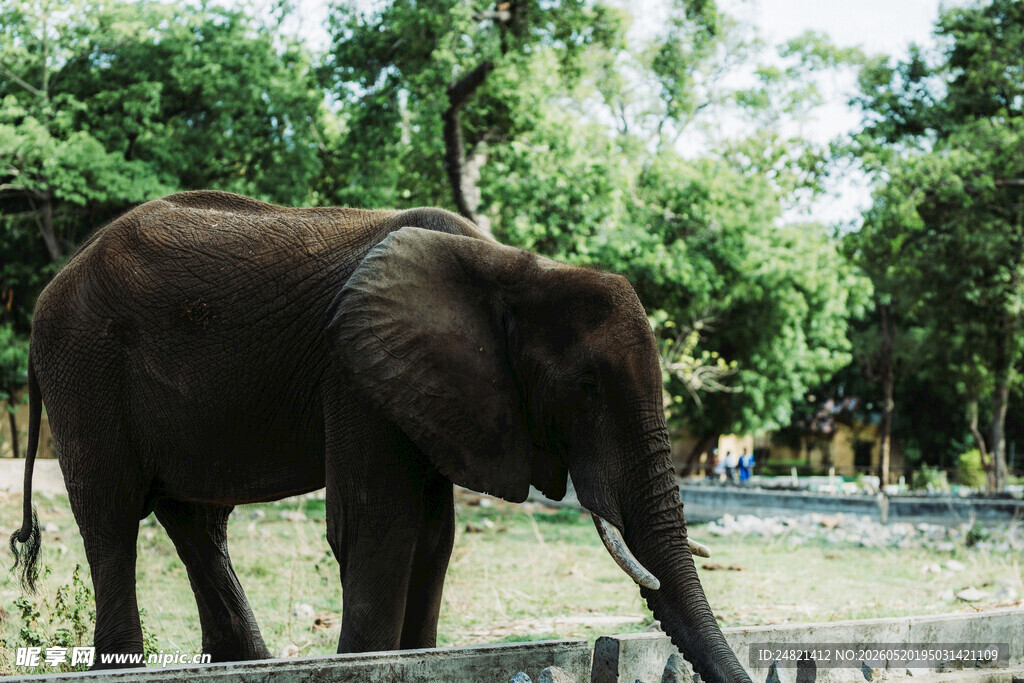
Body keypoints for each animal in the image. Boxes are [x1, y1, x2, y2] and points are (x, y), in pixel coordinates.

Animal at [10, 190, 750, 682]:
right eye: (587, 386)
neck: (513, 266)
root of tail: (50, 287)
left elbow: (433, 536)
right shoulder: (357, 373)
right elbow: (379, 528)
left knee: (195, 523)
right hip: (84, 368)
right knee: (113, 520)